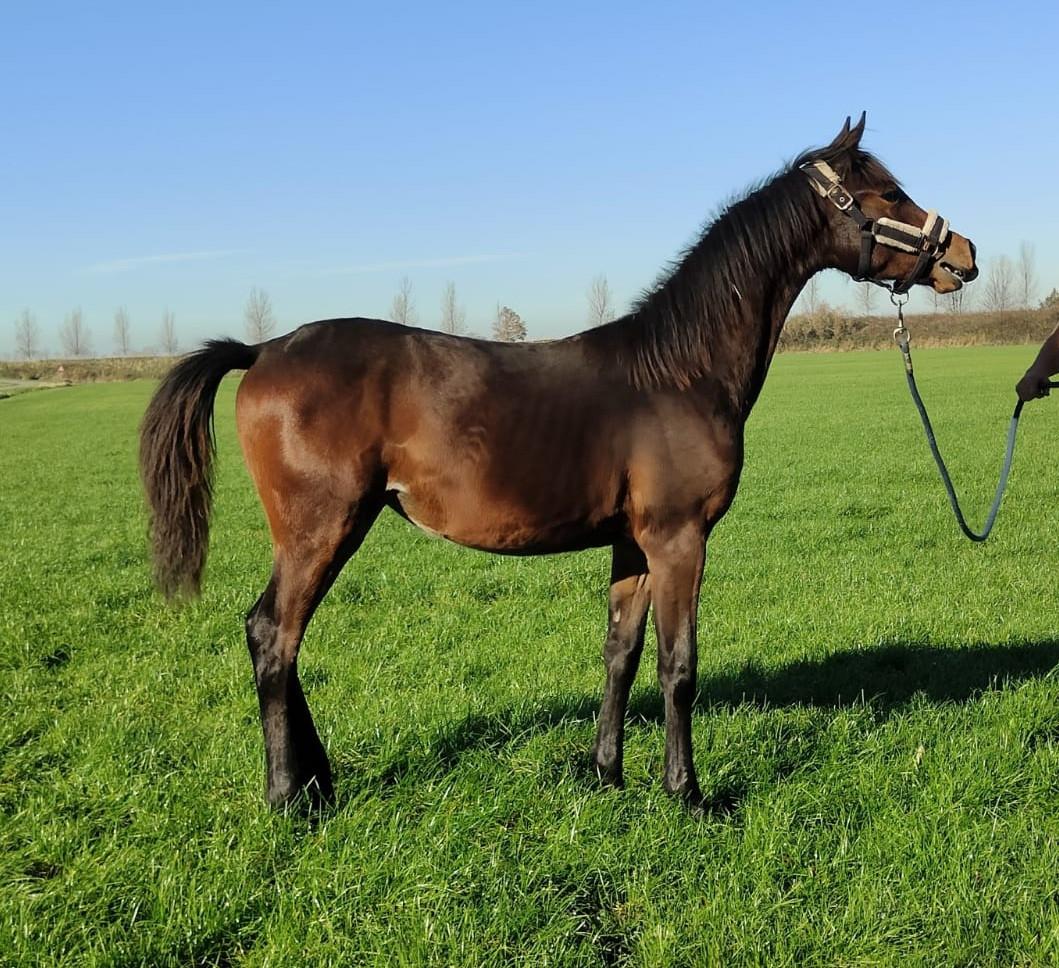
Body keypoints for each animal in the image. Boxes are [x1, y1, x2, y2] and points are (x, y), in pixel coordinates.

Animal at [140, 114, 978, 809]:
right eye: (887, 192)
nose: (962, 253)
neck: (678, 371)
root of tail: (263, 350)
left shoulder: (632, 544)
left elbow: (621, 655)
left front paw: (607, 774)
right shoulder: (679, 539)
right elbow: (678, 666)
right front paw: (687, 793)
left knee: (281, 641)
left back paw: (317, 781)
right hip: (322, 527)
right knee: (272, 636)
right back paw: (289, 795)